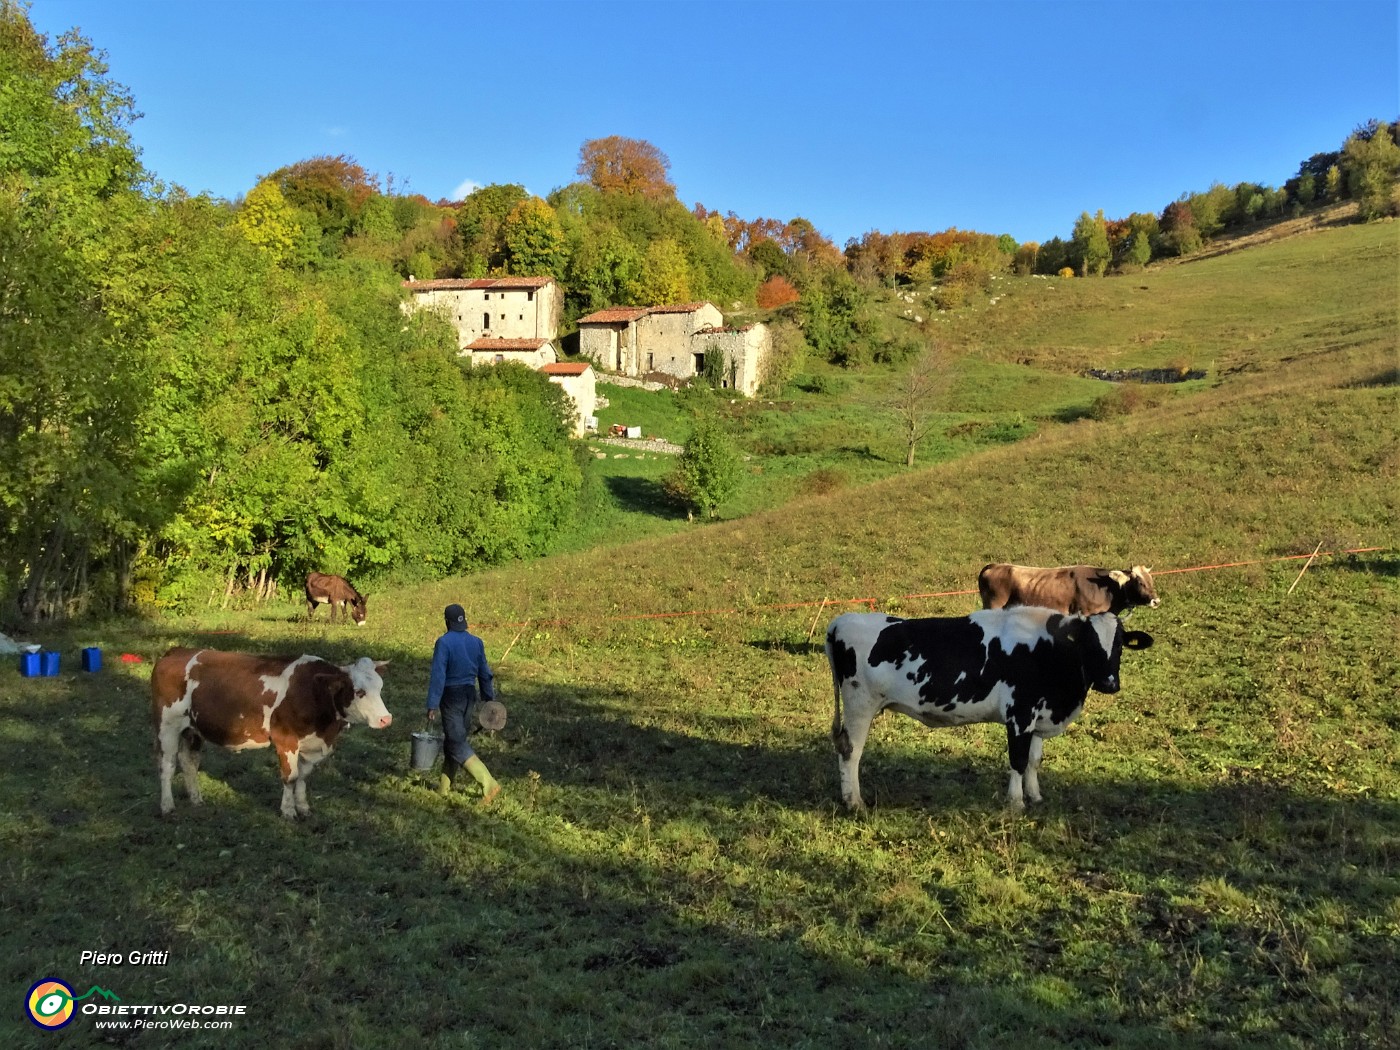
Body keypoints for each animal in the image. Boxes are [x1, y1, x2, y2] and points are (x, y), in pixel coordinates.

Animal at [152, 649, 392, 823]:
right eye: (359, 691)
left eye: (380, 687)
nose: (386, 719)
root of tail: (174, 652)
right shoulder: (286, 740)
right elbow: (290, 777)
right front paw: (288, 811)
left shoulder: (311, 744)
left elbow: (303, 776)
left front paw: (303, 807)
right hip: (167, 726)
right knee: (167, 766)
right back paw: (167, 806)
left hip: (193, 730)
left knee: (189, 762)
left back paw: (196, 800)